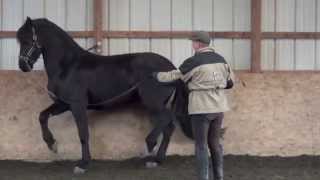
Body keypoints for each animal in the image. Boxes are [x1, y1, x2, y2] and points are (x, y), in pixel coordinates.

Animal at [16, 17, 192, 174]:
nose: (23, 65)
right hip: (155, 104)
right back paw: (157, 160)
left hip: (153, 102)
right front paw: (52, 144)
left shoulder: (77, 105)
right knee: (168, 126)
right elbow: (42, 116)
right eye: (20, 40)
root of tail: (172, 68)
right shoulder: (64, 104)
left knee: (165, 120)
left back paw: (149, 146)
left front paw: (83, 164)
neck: (68, 66)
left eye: (28, 40)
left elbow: (83, 133)